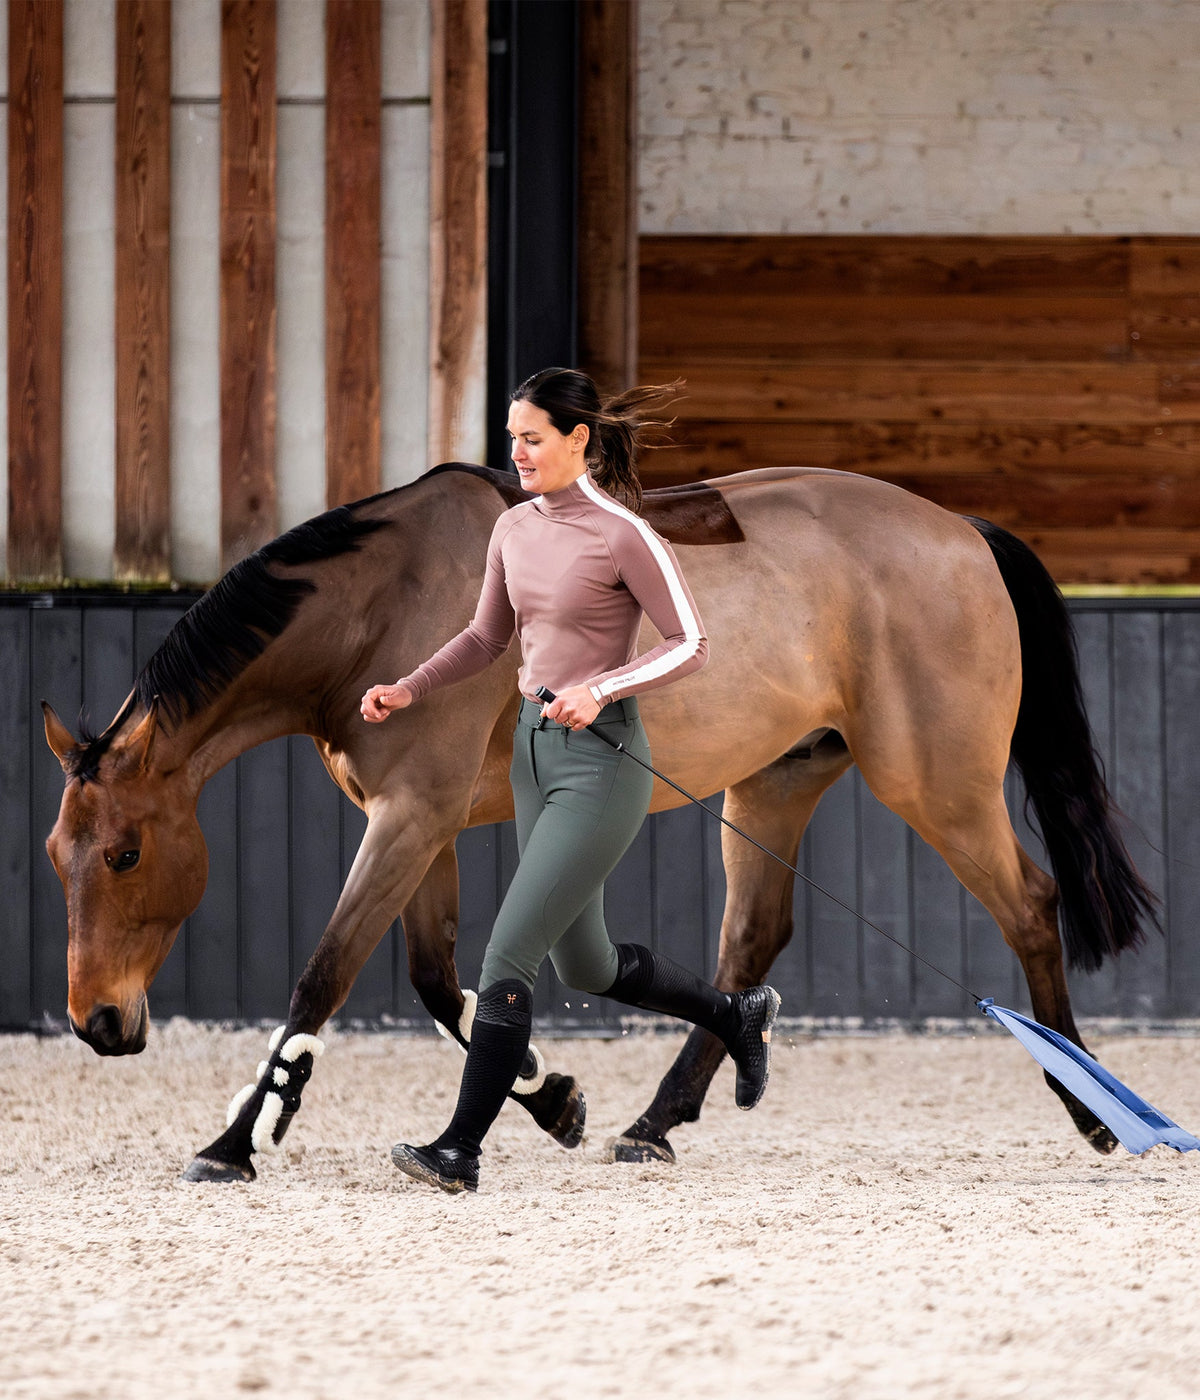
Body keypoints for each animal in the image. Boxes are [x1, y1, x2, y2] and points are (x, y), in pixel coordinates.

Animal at [42, 463, 1156, 1181]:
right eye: (58, 857)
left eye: (126, 853)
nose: (97, 1022)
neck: (386, 603)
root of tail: (963, 528)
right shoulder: (422, 828)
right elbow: (440, 982)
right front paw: (551, 1097)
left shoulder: (409, 819)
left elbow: (326, 971)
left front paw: (234, 1142)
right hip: (776, 785)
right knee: (750, 943)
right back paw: (658, 1119)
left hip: (940, 785)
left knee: (1030, 906)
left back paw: (1095, 1107)